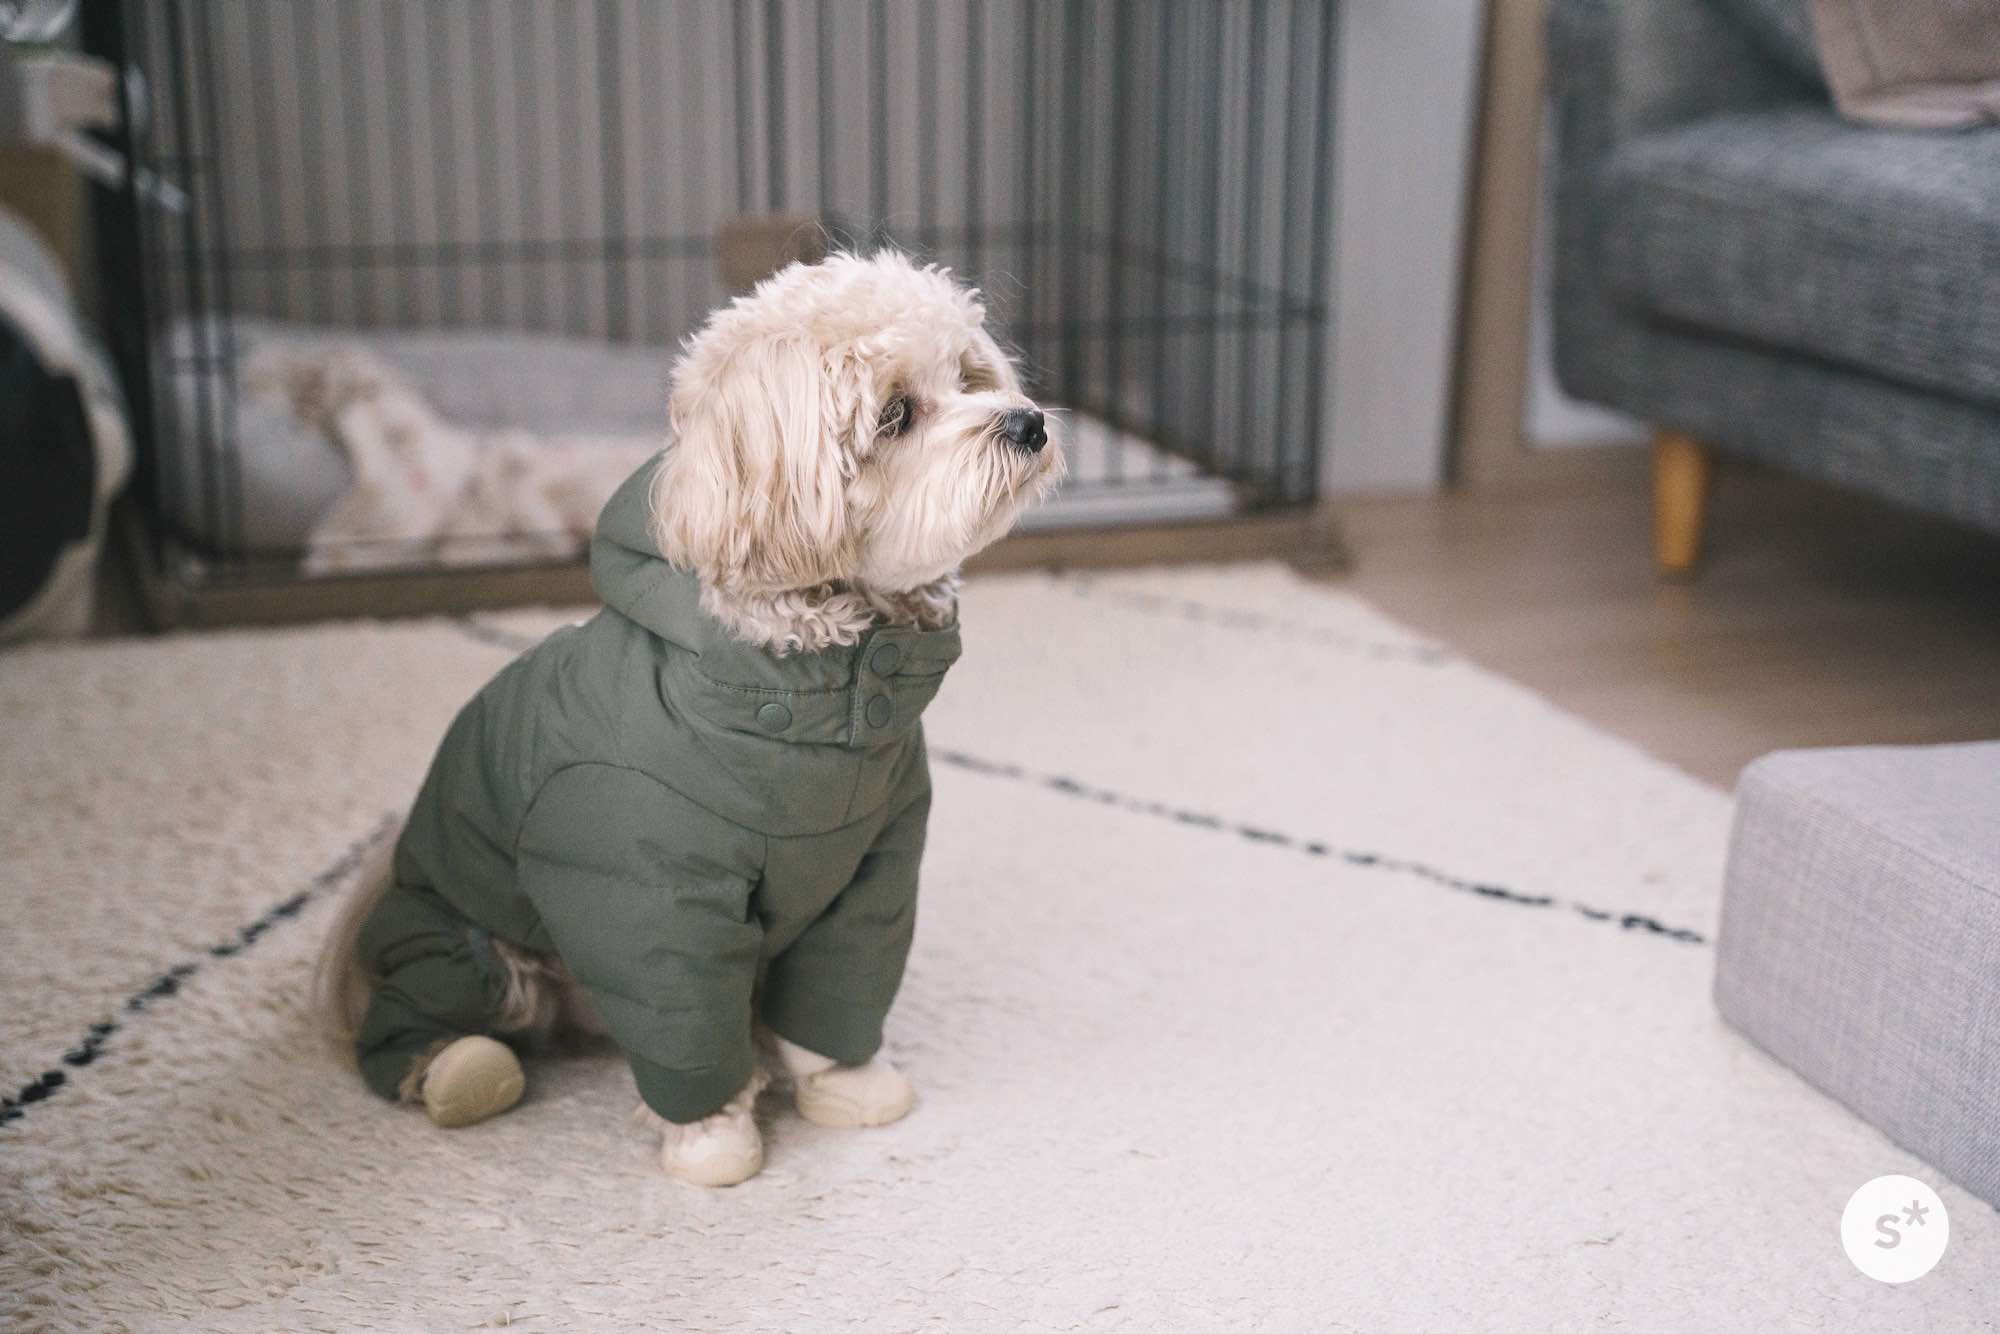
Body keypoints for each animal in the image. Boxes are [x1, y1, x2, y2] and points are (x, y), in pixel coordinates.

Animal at [317, 251, 1062, 1186]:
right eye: (896, 414)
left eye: (969, 376)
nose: (1028, 423)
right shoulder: (653, 898)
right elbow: (682, 1006)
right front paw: (710, 1129)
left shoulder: (870, 869)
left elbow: (842, 980)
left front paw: (844, 1078)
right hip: (474, 951)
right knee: (433, 1011)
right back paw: (458, 1068)